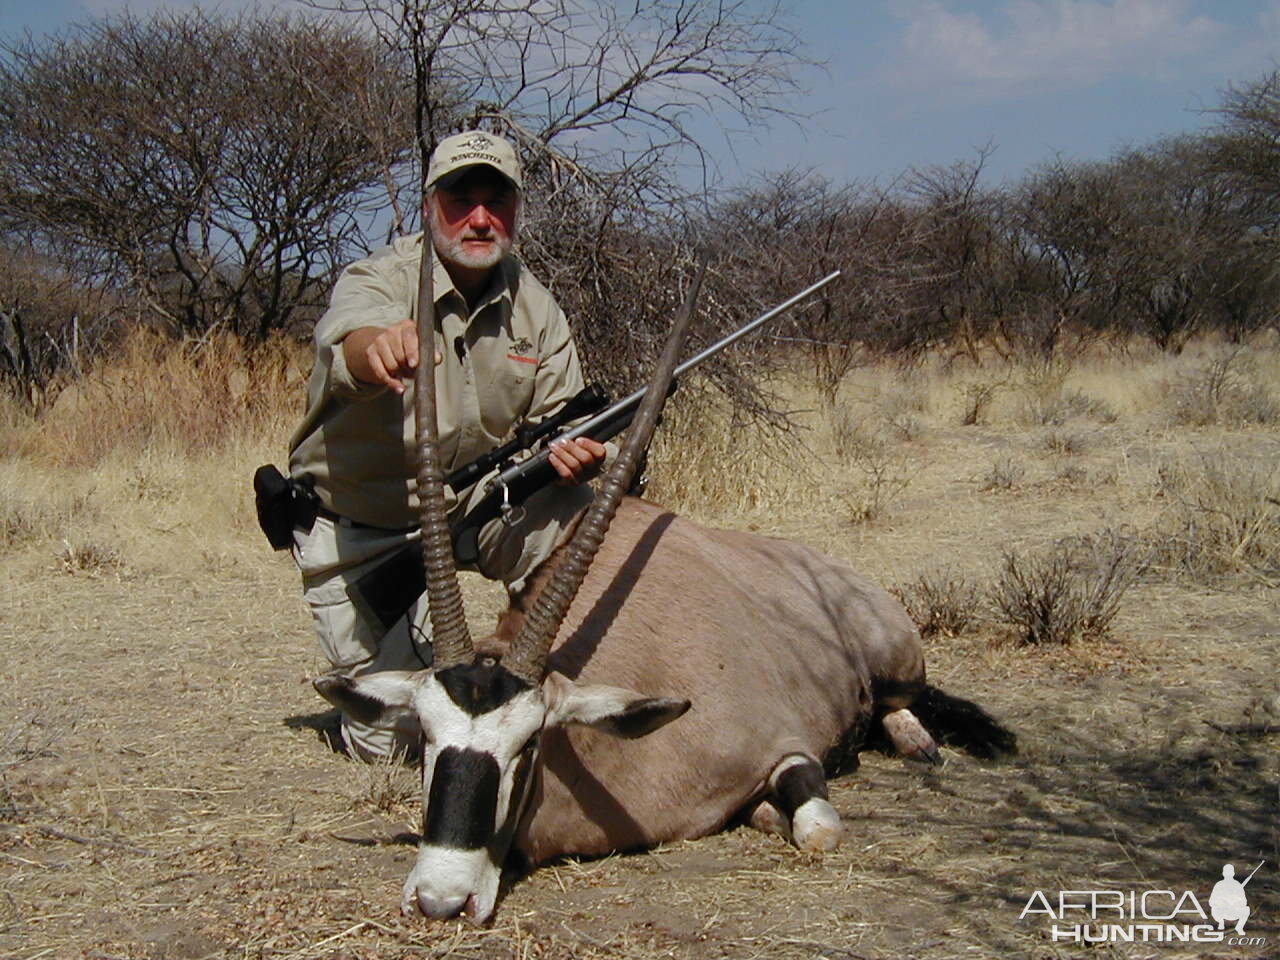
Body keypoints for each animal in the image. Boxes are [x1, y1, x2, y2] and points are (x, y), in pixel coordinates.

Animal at [312, 271, 1008, 926]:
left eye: (529, 745)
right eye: (425, 737)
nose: (441, 900)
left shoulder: (788, 746)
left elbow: (818, 831)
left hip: (896, 661)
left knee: (902, 704)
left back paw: (921, 744)